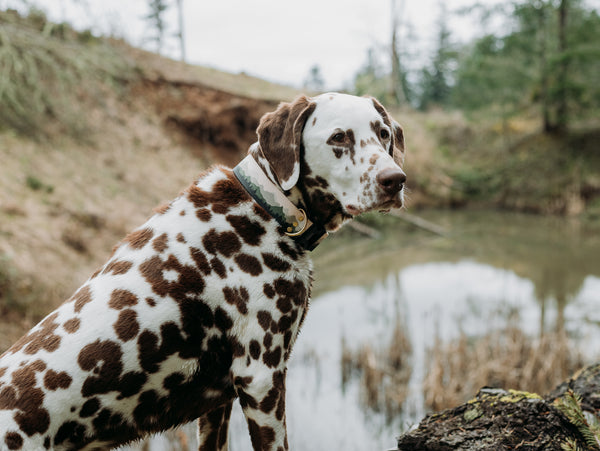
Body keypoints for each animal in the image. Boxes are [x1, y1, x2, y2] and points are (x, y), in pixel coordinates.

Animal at [0, 92, 406, 451]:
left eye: (383, 133)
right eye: (339, 137)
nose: (395, 179)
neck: (266, 208)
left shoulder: (218, 404)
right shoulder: (261, 379)